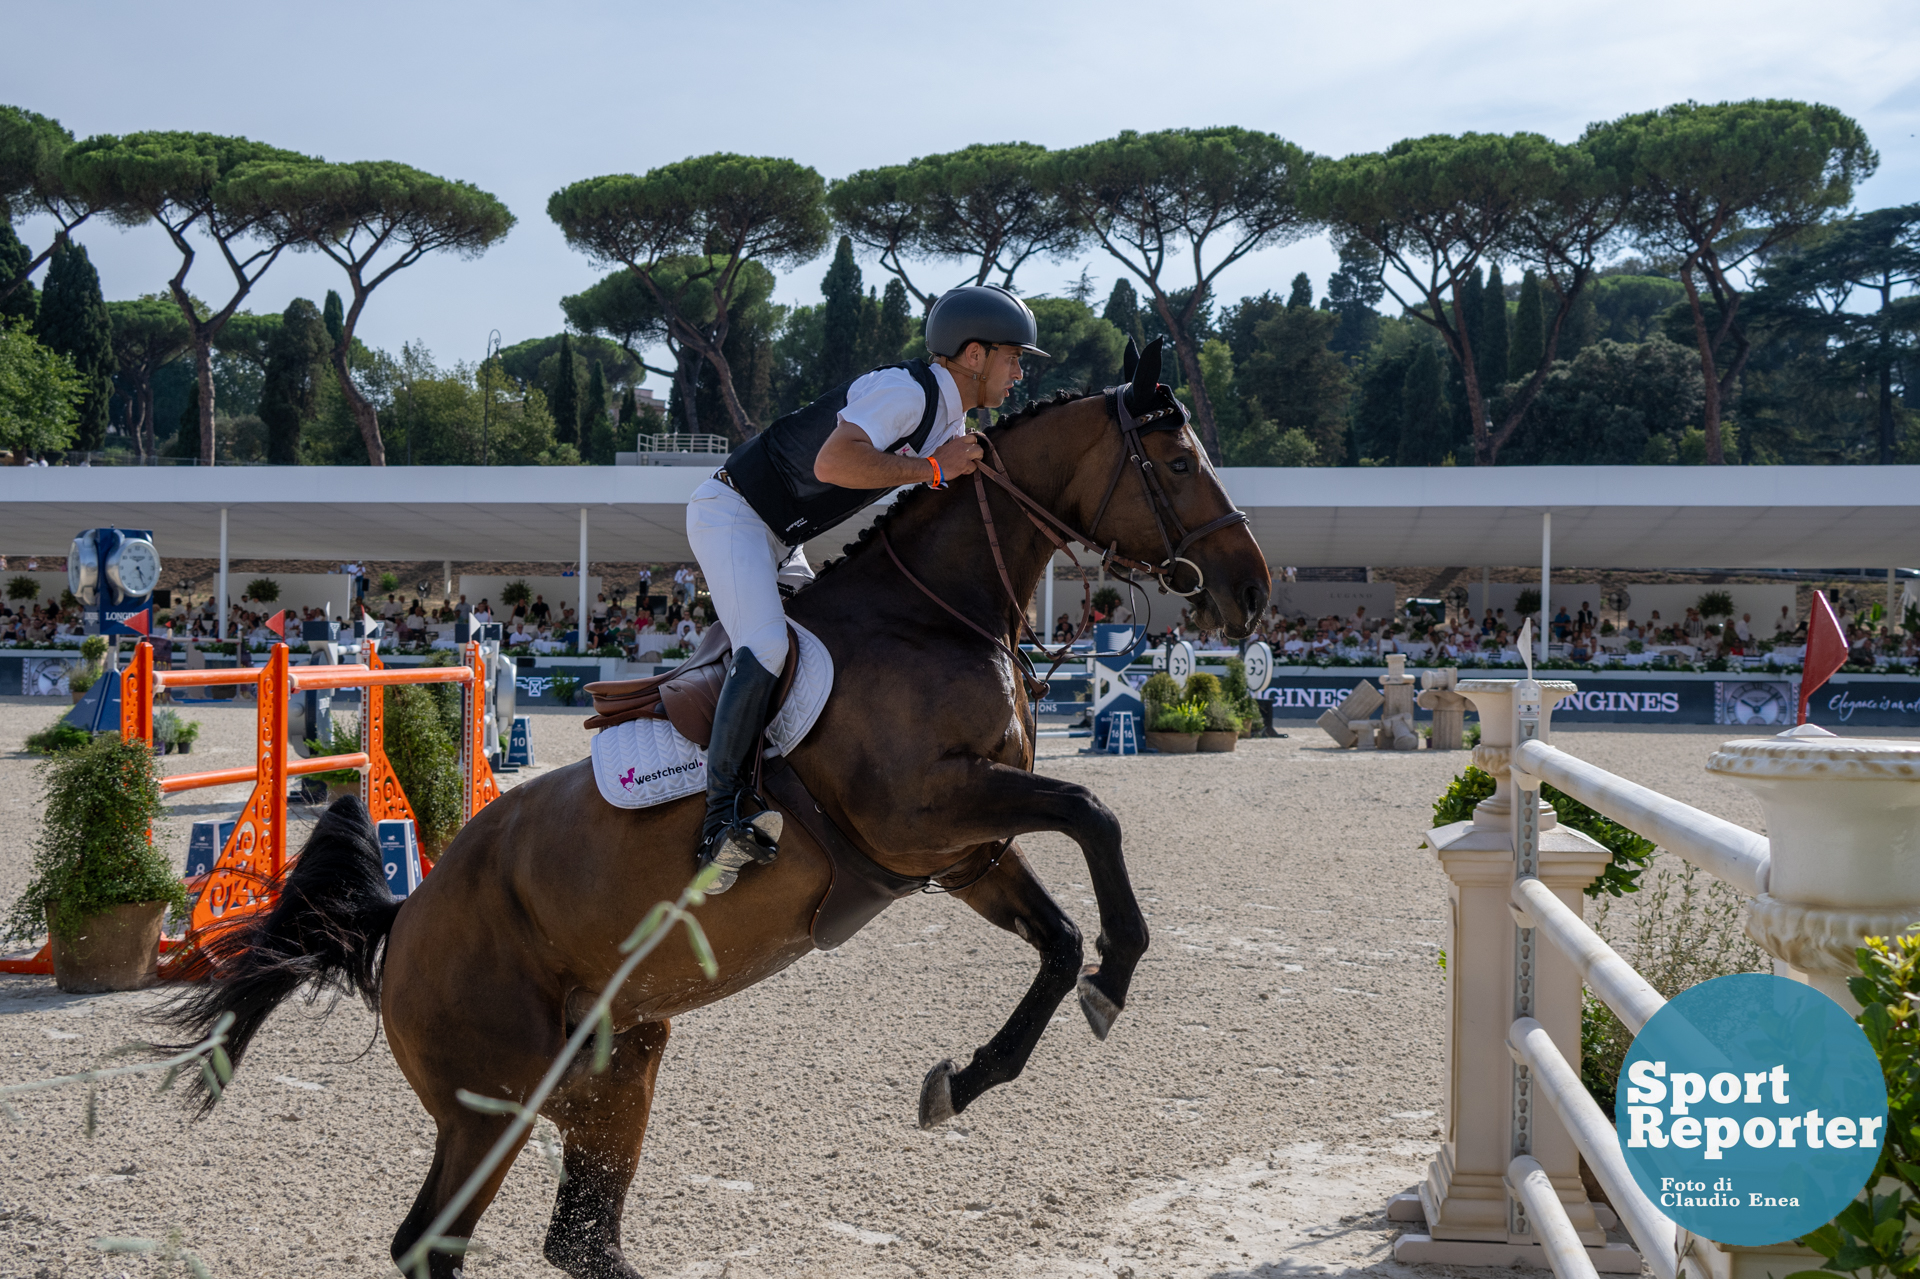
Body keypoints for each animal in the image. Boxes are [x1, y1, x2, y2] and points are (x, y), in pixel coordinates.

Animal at [168, 341, 1274, 1275]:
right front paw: (1116, 975)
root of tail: (406, 915)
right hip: (492, 1103)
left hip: (615, 1069)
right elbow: (1093, 811)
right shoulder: (925, 810)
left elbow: (1056, 937)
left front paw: (971, 1074)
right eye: (1178, 462)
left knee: (580, 1239)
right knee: (430, 1242)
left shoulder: (963, 852)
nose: (1253, 590)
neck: (934, 615)